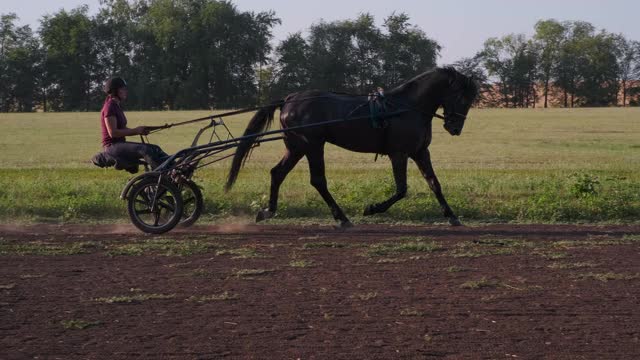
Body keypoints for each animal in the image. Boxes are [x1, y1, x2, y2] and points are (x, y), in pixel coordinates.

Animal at [226, 67, 480, 228]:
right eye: (461, 97)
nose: (455, 128)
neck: (405, 107)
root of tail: (290, 99)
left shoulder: (420, 152)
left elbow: (434, 183)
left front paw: (452, 216)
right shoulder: (398, 154)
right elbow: (401, 189)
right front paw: (372, 208)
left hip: (296, 147)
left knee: (278, 173)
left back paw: (268, 211)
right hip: (312, 145)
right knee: (318, 180)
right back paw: (342, 218)